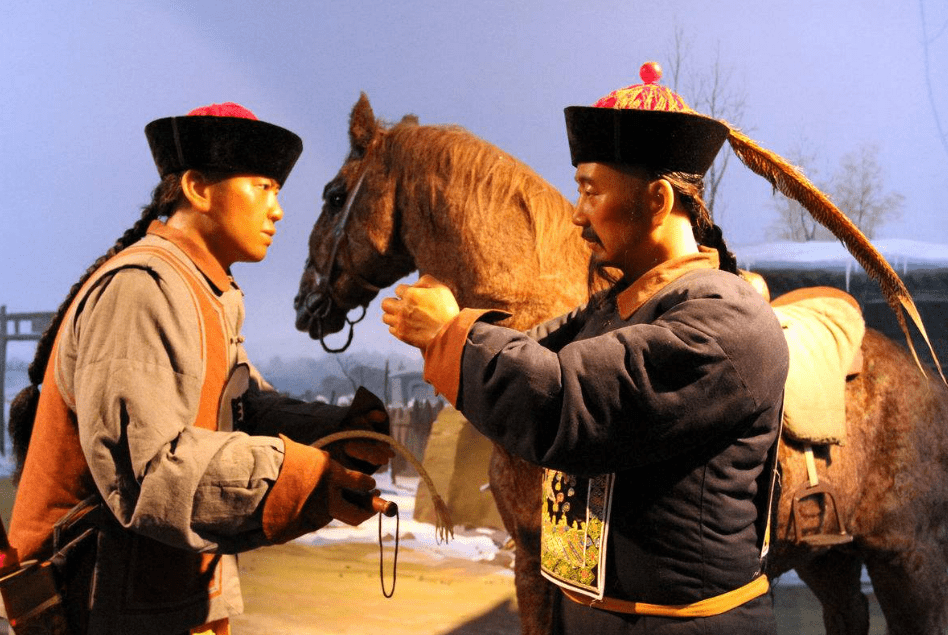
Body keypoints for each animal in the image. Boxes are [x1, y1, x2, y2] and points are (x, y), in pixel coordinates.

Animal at [292, 94, 948, 635]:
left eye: (333, 196)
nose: (303, 305)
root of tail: (926, 384)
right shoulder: (530, 561)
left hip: (906, 557)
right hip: (830, 555)